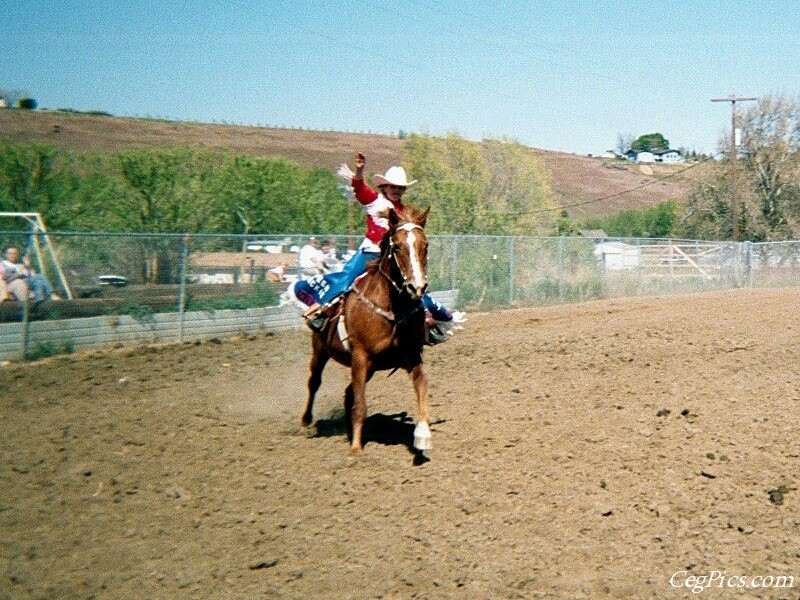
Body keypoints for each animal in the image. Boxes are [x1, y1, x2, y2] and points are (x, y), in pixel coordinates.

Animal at [302, 204, 432, 458]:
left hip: (368, 367)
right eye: (397, 246)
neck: (393, 310)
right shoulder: (360, 356)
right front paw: (355, 449)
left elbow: (422, 388)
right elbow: (361, 405)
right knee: (314, 383)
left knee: (348, 393)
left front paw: (422, 436)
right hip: (321, 351)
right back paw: (306, 422)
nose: (417, 287)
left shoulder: (411, 356)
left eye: (426, 245)